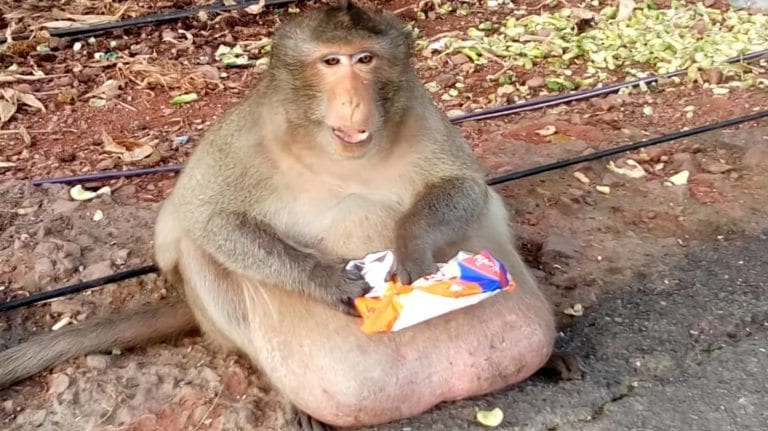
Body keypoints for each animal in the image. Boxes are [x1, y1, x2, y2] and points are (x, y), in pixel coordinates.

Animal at [0, 2, 556, 430]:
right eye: (331, 61)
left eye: (365, 59)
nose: (352, 100)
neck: (337, 153)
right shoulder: (245, 136)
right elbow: (206, 218)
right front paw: (327, 280)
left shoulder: (421, 112)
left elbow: (466, 186)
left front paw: (412, 245)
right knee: (200, 254)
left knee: (487, 204)